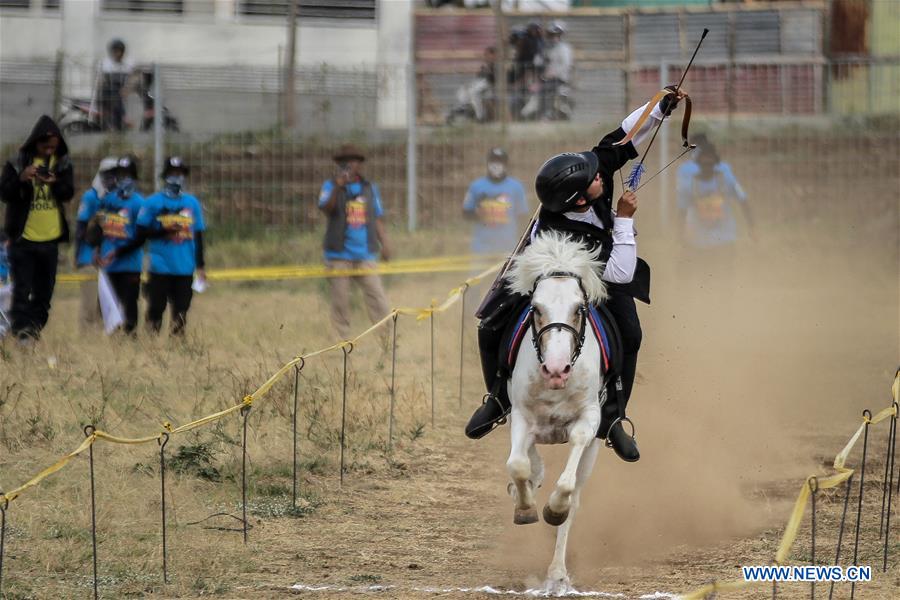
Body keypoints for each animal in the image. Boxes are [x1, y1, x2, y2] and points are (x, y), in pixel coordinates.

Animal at [502, 231, 608, 596]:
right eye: (535, 308)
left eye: (579, 308)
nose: (556, 369)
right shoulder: (520, 416)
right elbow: (518, 465)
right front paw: (524, 508)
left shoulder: (590, 420)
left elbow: (566, 487)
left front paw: (553, 508)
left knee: (574, 498)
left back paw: (557, 575)